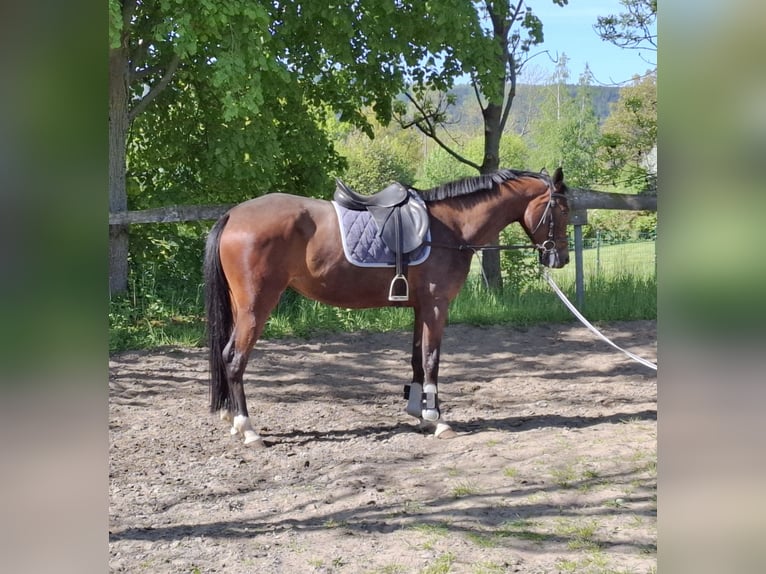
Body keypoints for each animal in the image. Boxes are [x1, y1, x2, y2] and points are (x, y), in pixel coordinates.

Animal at [204, 167, 570, 446]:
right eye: (563, 211)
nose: (560, 259)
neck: (450, 228)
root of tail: (233, 215)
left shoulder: (422, 307)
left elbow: (417, 359)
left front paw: (419, 412)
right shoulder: (437, 306)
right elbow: (432, 359)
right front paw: (438, 420)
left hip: (240, 306)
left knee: (226, 355)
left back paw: (233, 420)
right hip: (256, 306)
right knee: (235, 359)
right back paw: (248, 429)